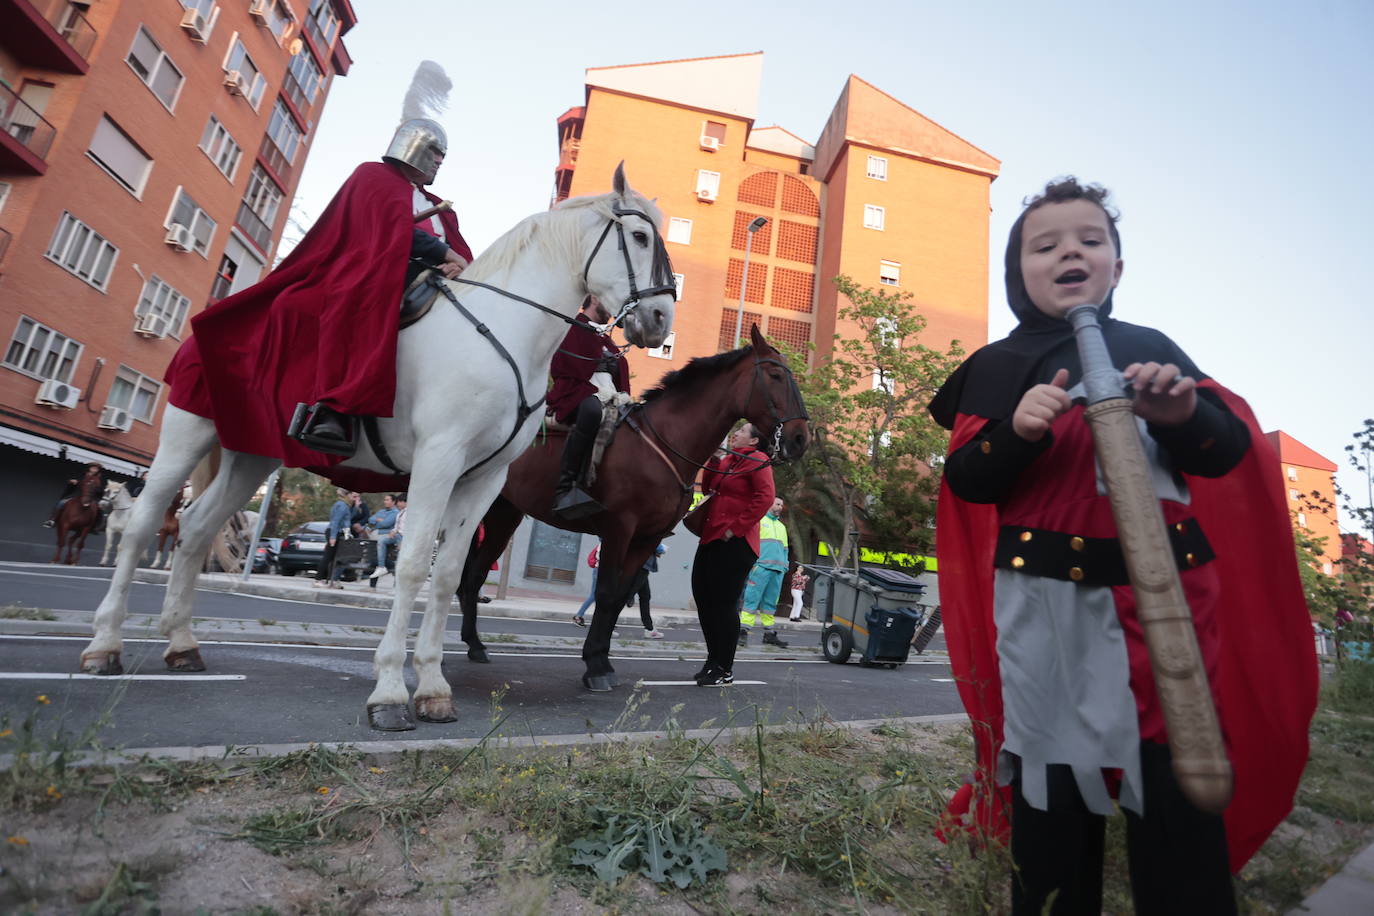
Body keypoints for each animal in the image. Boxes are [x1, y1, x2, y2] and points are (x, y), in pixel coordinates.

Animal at [80, 168, 676, 736]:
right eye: (640, 237)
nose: (661, 321)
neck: (503, 332)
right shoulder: (438, 462)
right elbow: (412, 567)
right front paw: (390, 691)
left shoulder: (483, 479)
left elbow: (448, 575)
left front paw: (433, 688)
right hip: (187, 434)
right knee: (144, 527)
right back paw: (105, 644)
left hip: (249, 456)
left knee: (197, 529)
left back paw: (181, 644)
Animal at [456, 325, 807, 692]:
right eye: (775, 375)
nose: (801, 438)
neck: (663, 443)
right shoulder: (619, 528)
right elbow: (607, 592)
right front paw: (596, 668)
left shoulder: (647, 538)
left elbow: (619, 597)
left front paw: (601, 659)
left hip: (504, 512)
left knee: (474, 573)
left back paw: (476, 645)